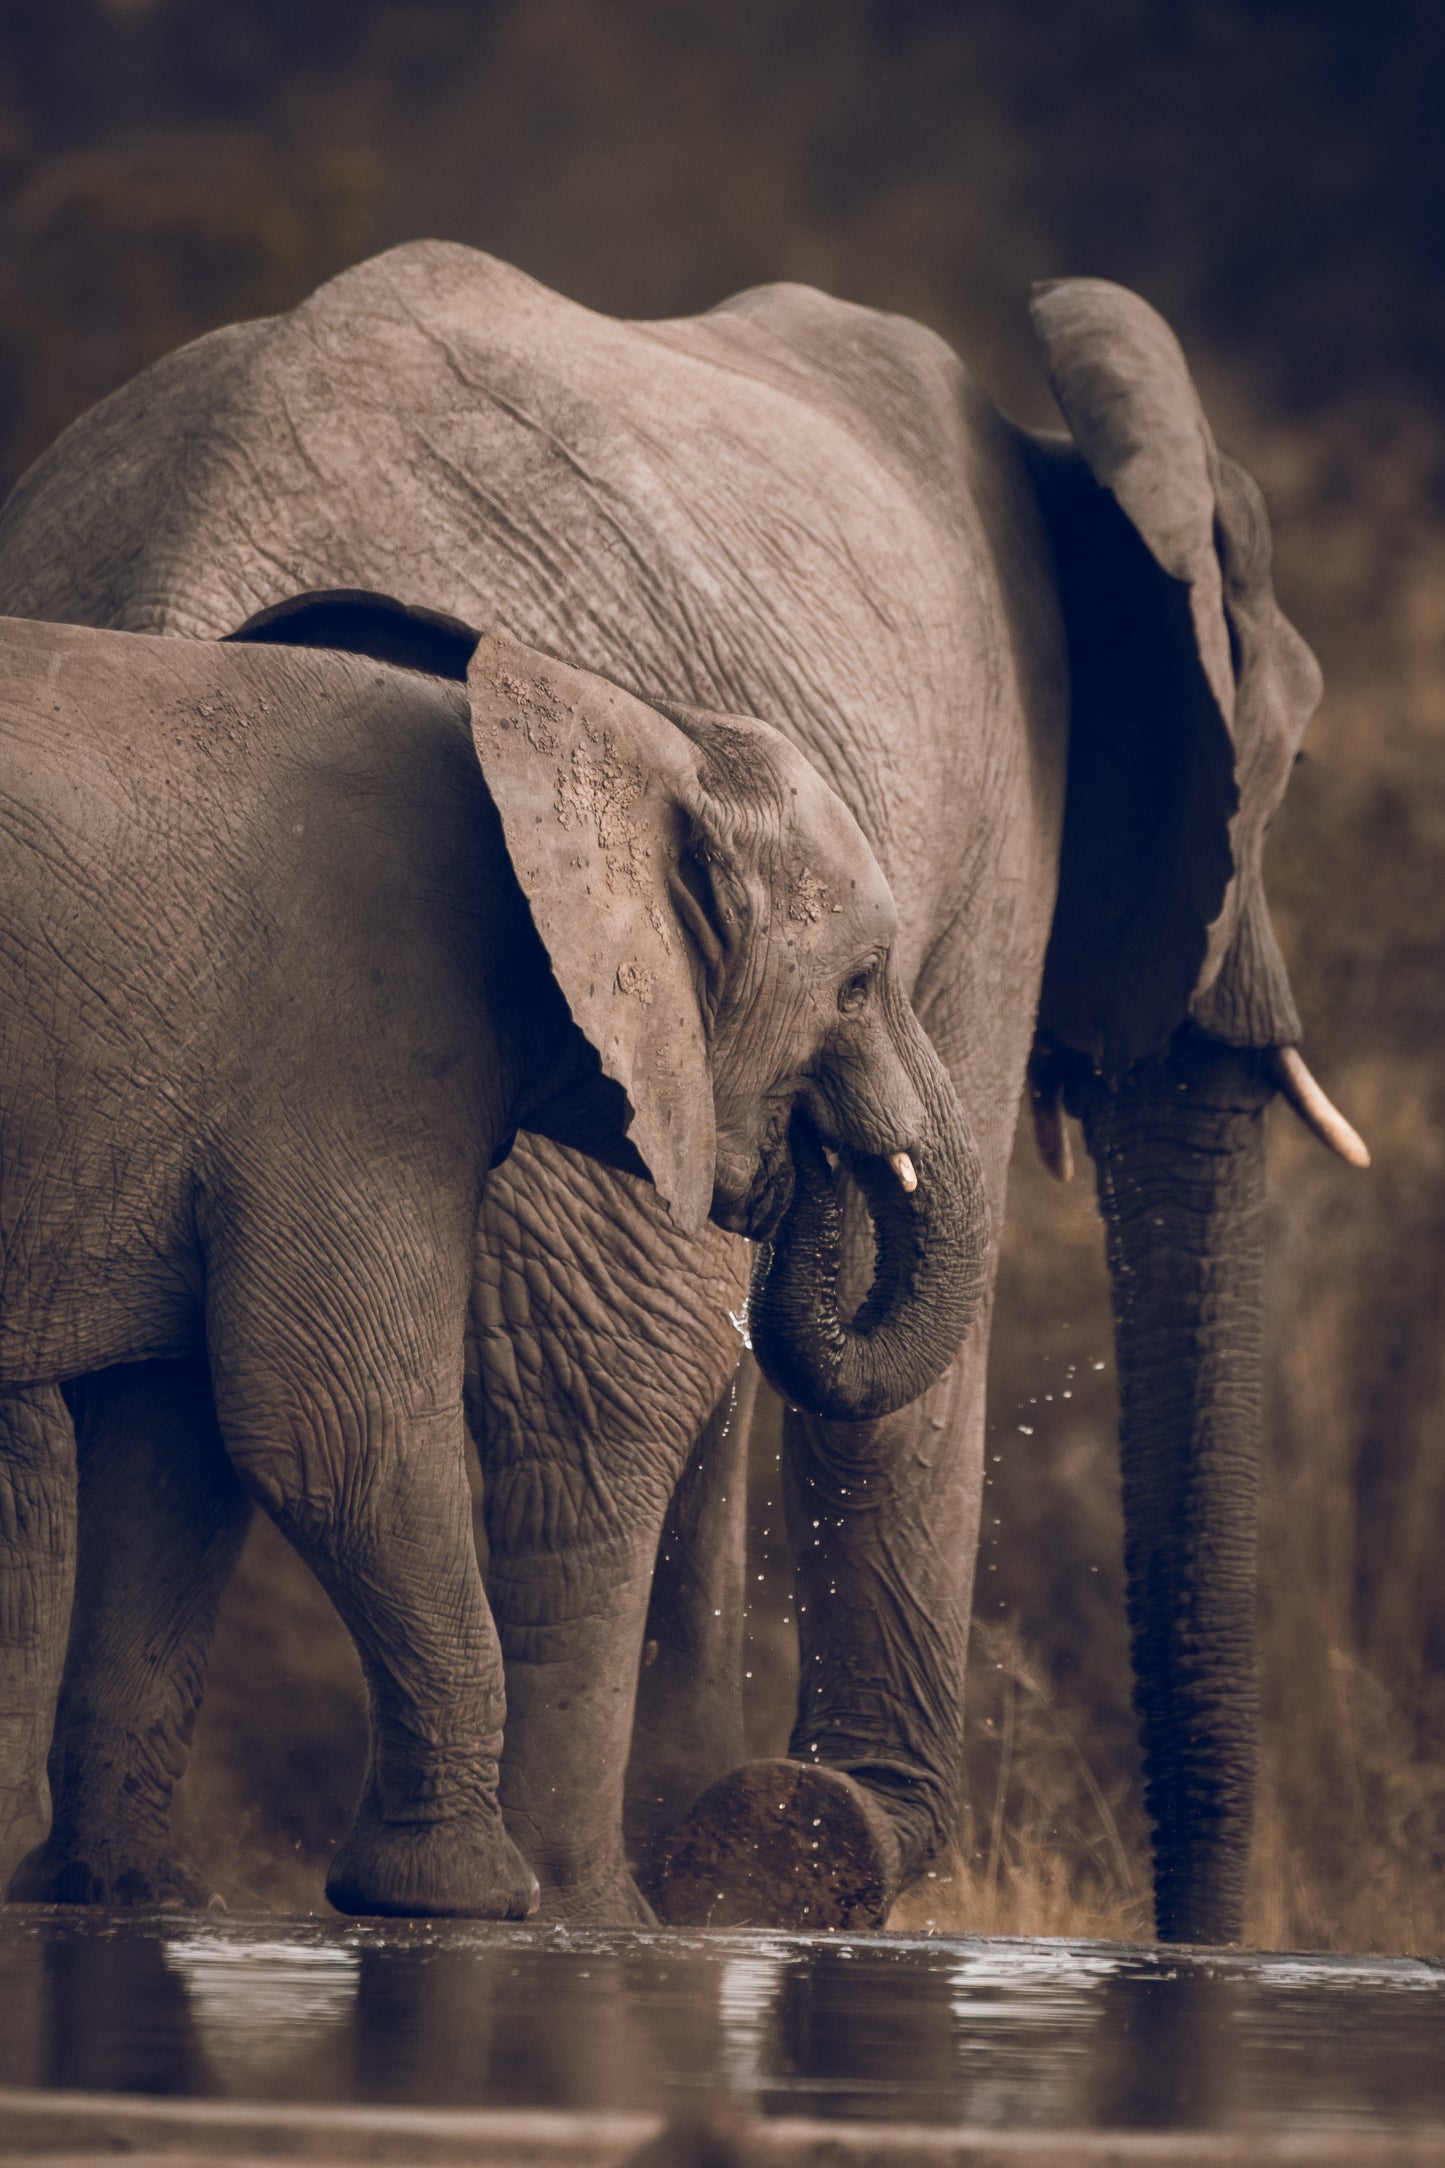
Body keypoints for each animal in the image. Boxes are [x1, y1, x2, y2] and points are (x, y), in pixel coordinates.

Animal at [0, 612, 984, 1918]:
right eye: (862, 983)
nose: (802, 1172)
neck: (617, 729)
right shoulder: (361, 1033)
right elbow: (334, 1430)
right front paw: (466, 1897)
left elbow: (178, 1445)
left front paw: (125, 1897)